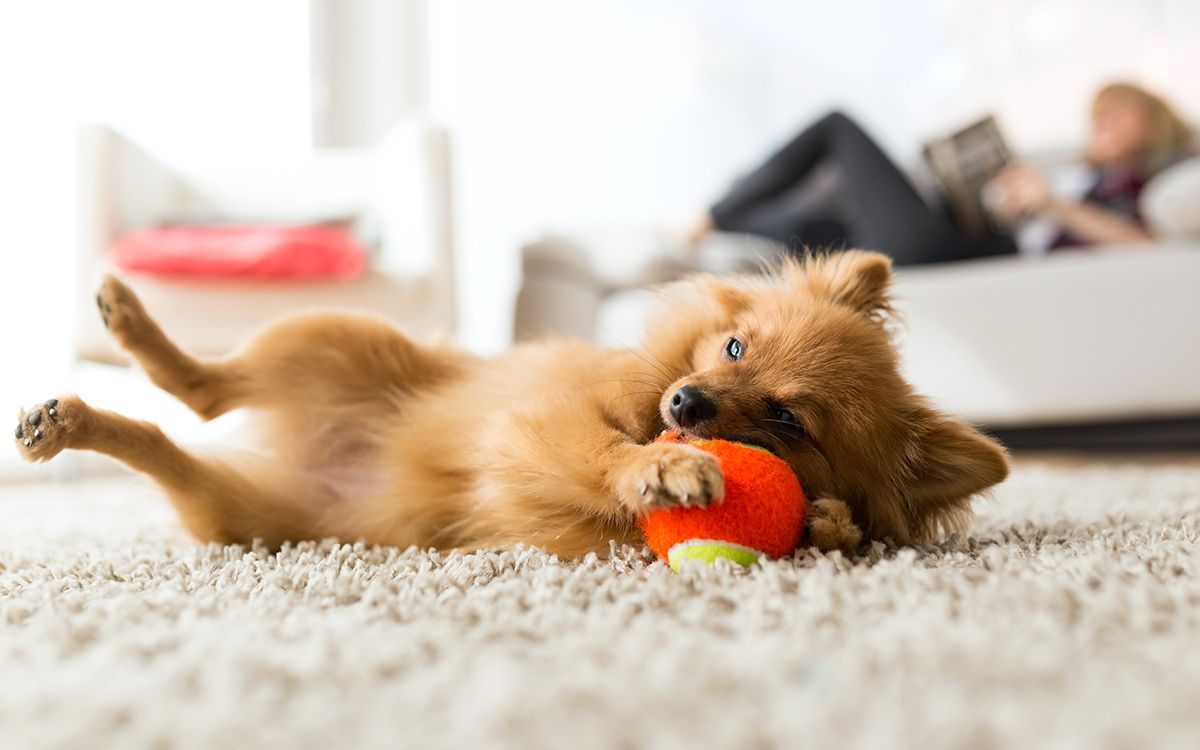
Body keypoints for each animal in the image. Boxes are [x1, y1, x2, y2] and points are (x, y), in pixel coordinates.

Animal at [14, 248, 1008, 552]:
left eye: (787, 420)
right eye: (734, 348)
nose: (687, 405)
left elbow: (835, 525)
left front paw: (829, 524)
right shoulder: (548, 421)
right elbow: (608, 453)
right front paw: (661, 470)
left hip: (248, 516)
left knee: (174, 438)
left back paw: (68, 422)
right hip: (333, 335)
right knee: (203, 386)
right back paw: (120, 329)